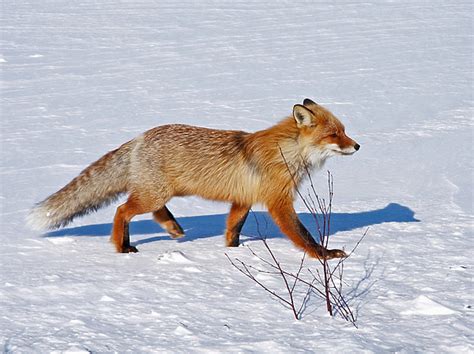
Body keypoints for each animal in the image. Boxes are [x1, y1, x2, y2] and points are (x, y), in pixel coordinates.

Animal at [26, 98, 360, 258]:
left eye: (344, 131)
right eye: (334, 134)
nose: (357, 146)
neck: (286, 152)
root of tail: (139, 137)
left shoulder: (243, 199)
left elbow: (233, 229)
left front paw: (232, 251)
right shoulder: (278, 201)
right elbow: (303, 236)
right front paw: (324, 255)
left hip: (158, 193)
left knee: (147, 211)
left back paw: (172, 228)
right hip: (154, 194)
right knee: (122, 210)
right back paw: (122, 246)